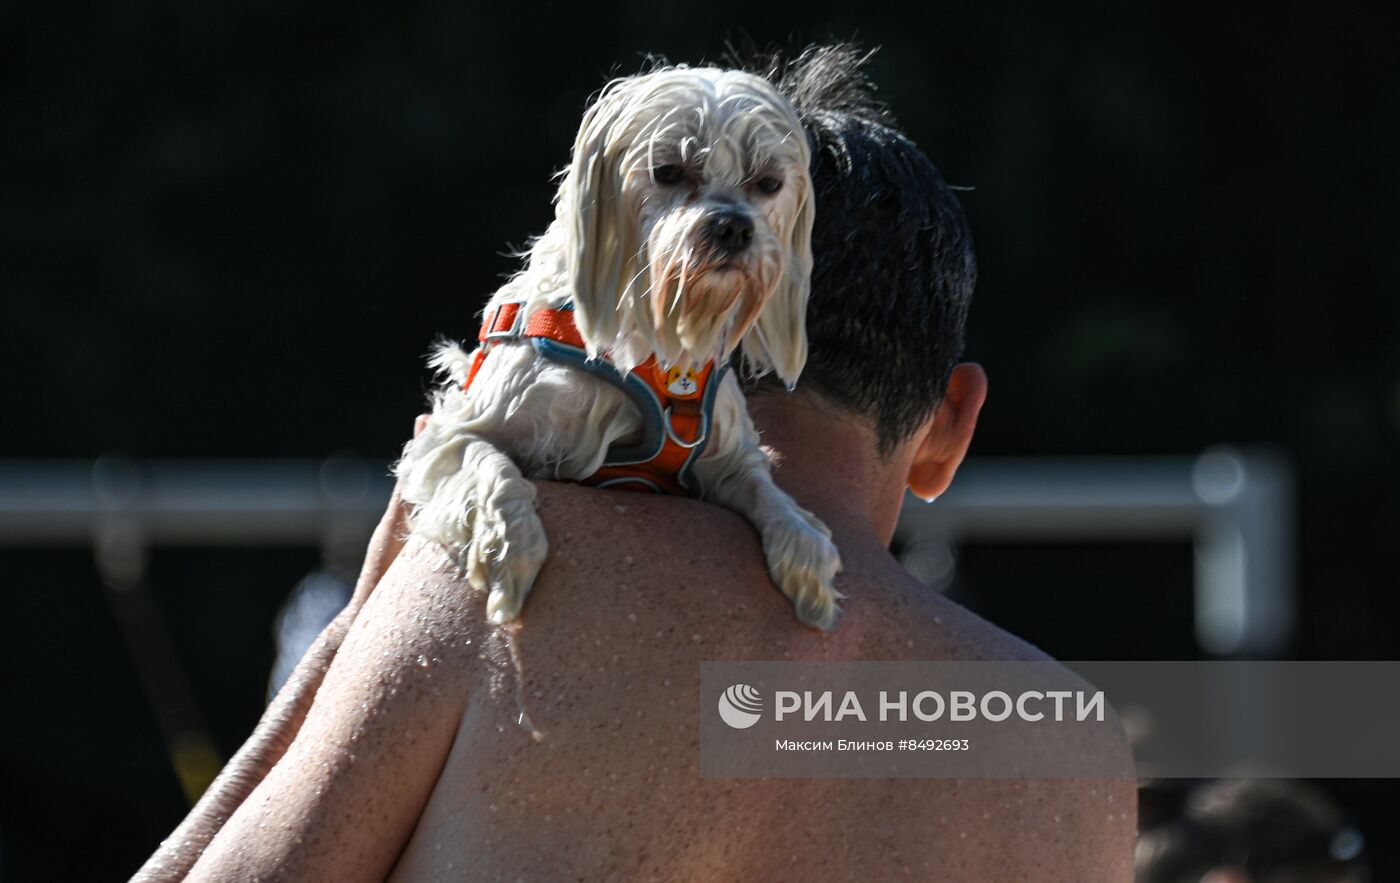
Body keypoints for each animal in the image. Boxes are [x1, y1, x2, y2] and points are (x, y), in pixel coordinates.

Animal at [400, 65, 845, 632]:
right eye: (668, 171)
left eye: (768, 183)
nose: (733, 226)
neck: (654, 342)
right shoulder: (452, 436)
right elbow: (491, 467)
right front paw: (511, 548)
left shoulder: (723, 457)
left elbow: (765, 491)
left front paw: (805, 547)